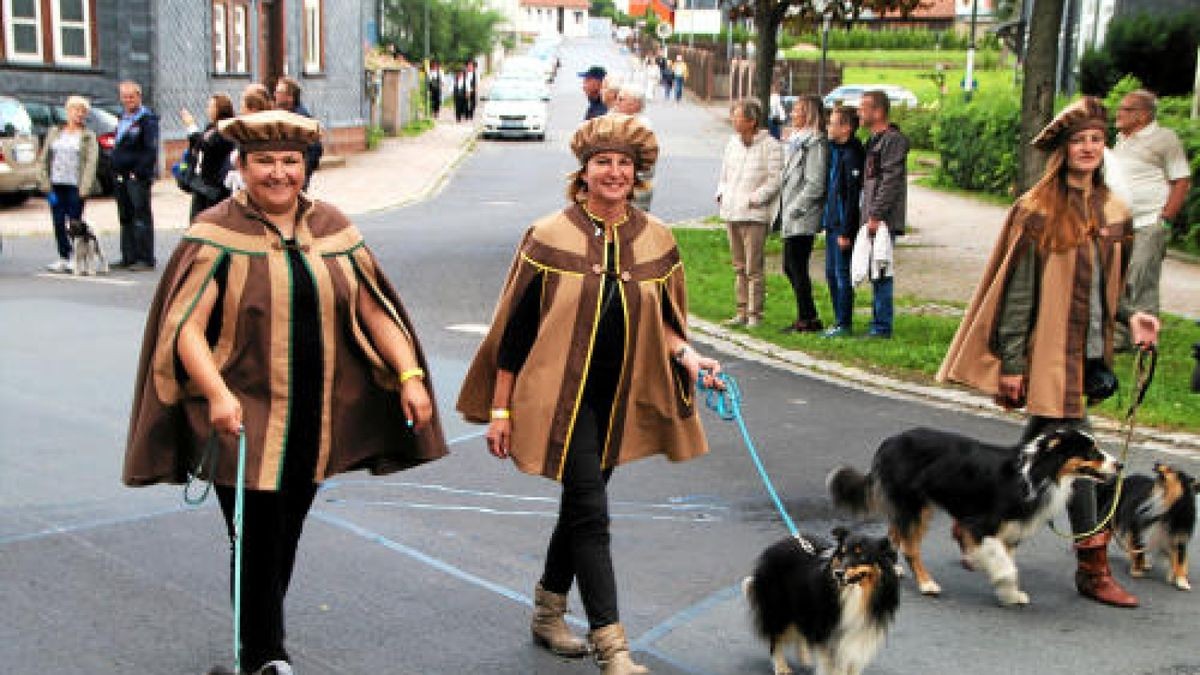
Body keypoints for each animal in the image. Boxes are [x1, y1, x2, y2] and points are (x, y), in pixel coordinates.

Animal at [739, 526, 902, 672]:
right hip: (779, 607)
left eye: (861, 556)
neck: (855, 594)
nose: (838, 573)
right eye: (842, 554)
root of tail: (773, 547)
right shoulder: (830, 633)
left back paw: (805, 660)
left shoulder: (858, 634)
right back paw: (782, 668)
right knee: (775, 637)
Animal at [830, 425, 1118, 605]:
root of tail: (888, 442)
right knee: (911, 546)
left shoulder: (1011, 530)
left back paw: (893, 565)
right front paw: (996, 575)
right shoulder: (981, 523)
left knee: (895, 530)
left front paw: (1010, 594)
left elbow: (1009, 560)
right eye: (1091, 451)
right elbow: (1006, 565)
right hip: (914, 503)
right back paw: (927, 584)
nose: (1120, 464)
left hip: (914, 505)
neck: (1039, 474)